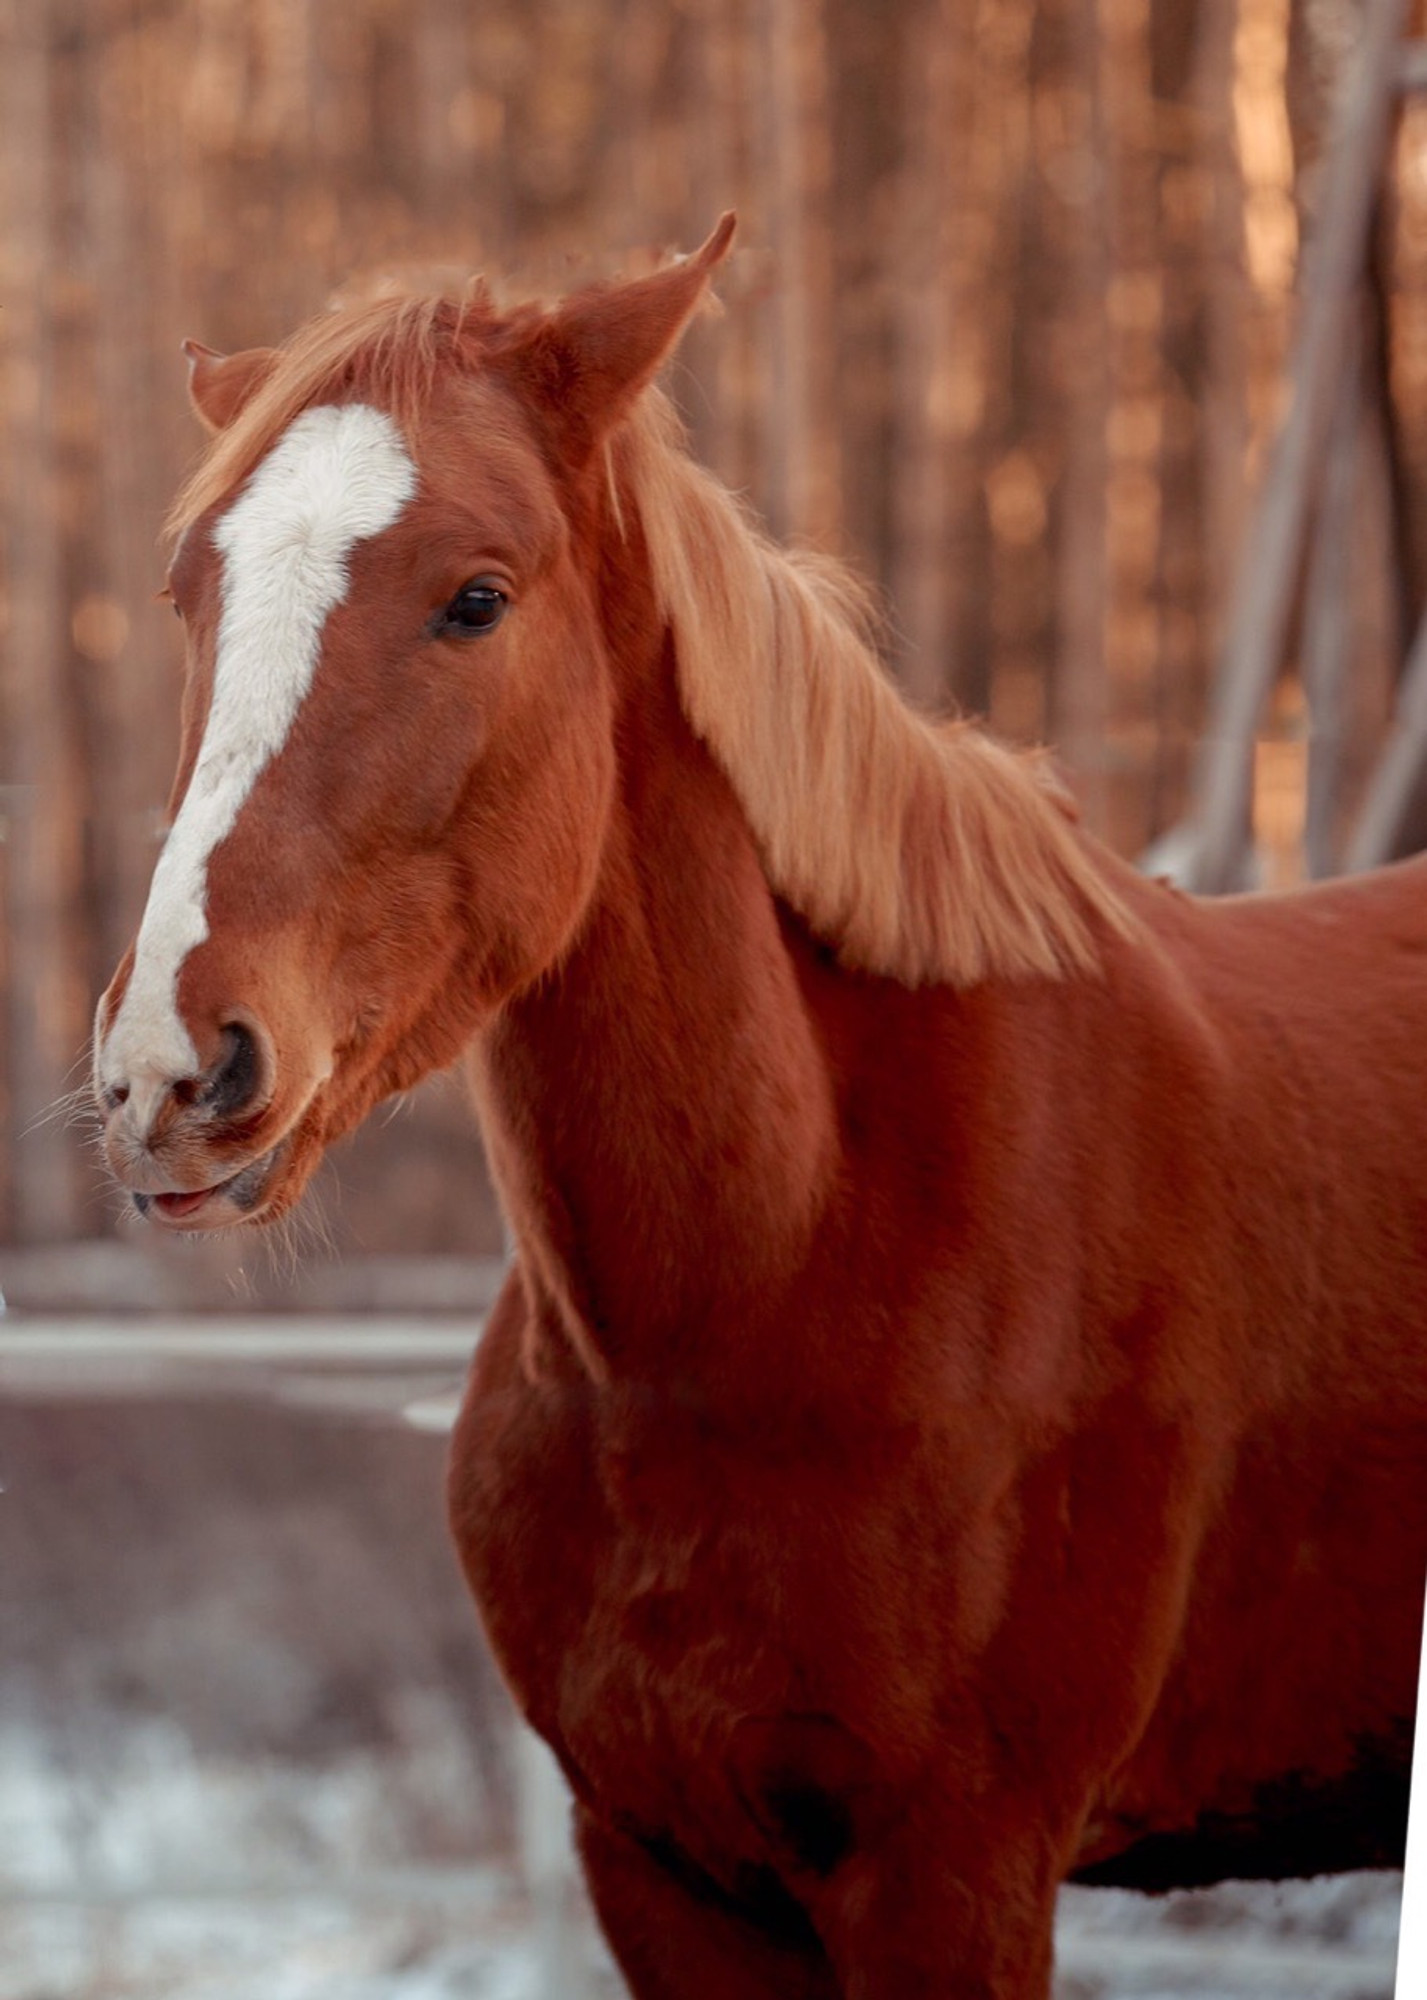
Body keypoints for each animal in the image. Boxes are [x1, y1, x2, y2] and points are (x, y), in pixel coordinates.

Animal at [97, 211, 1423, 1992]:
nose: (173, 1070)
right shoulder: (658, 1868)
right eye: (192, 594)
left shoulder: (953, 1875)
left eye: (474, 598)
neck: (790, 1261)